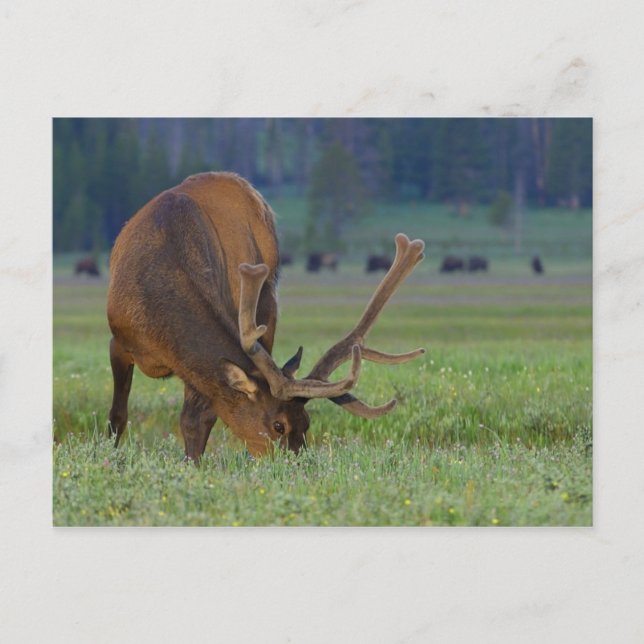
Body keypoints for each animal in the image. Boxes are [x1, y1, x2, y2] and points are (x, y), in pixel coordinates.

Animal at [107, 172, 425, 461]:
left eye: (307, 423)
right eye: (278, 425)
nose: (298, 464)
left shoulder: (195, 369)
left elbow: (196, 421)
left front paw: (193, 465)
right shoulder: (118, 340)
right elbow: (117, 416)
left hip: (267, 304)